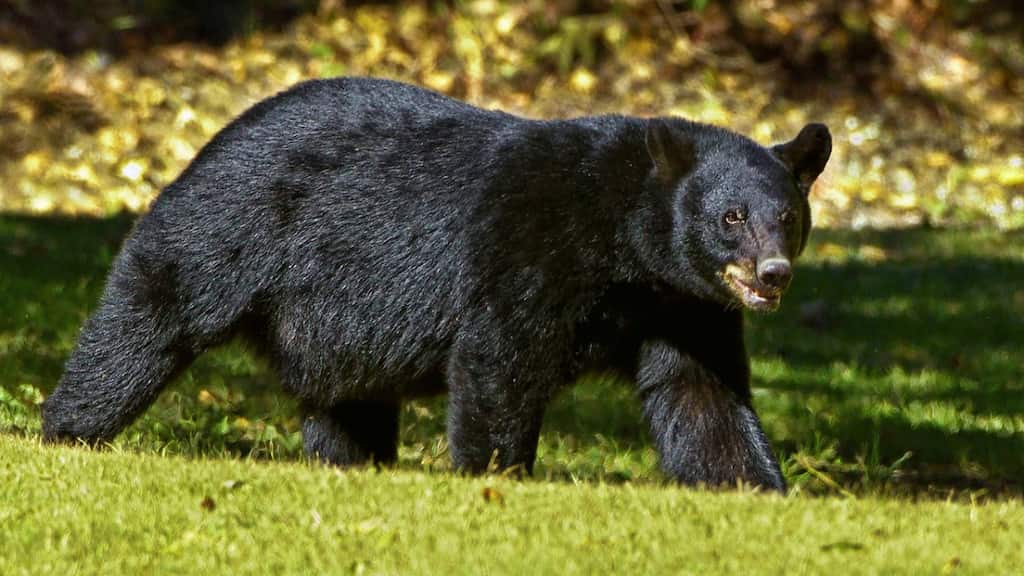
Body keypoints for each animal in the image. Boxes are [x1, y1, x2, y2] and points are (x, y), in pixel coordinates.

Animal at [42, 77, 831, 492]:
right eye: (731, 217)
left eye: (787, 217)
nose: (772, 273)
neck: (624, 244)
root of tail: (216, 134)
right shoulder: (530, 249)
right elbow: (500, 360)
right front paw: (497, 476)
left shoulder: (682, 304)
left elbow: (702, 393)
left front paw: (755, 487)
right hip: (229, 227)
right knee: (150, 317)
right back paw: (68, 429)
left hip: (334, 323)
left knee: (346, 400)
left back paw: (352, 463)